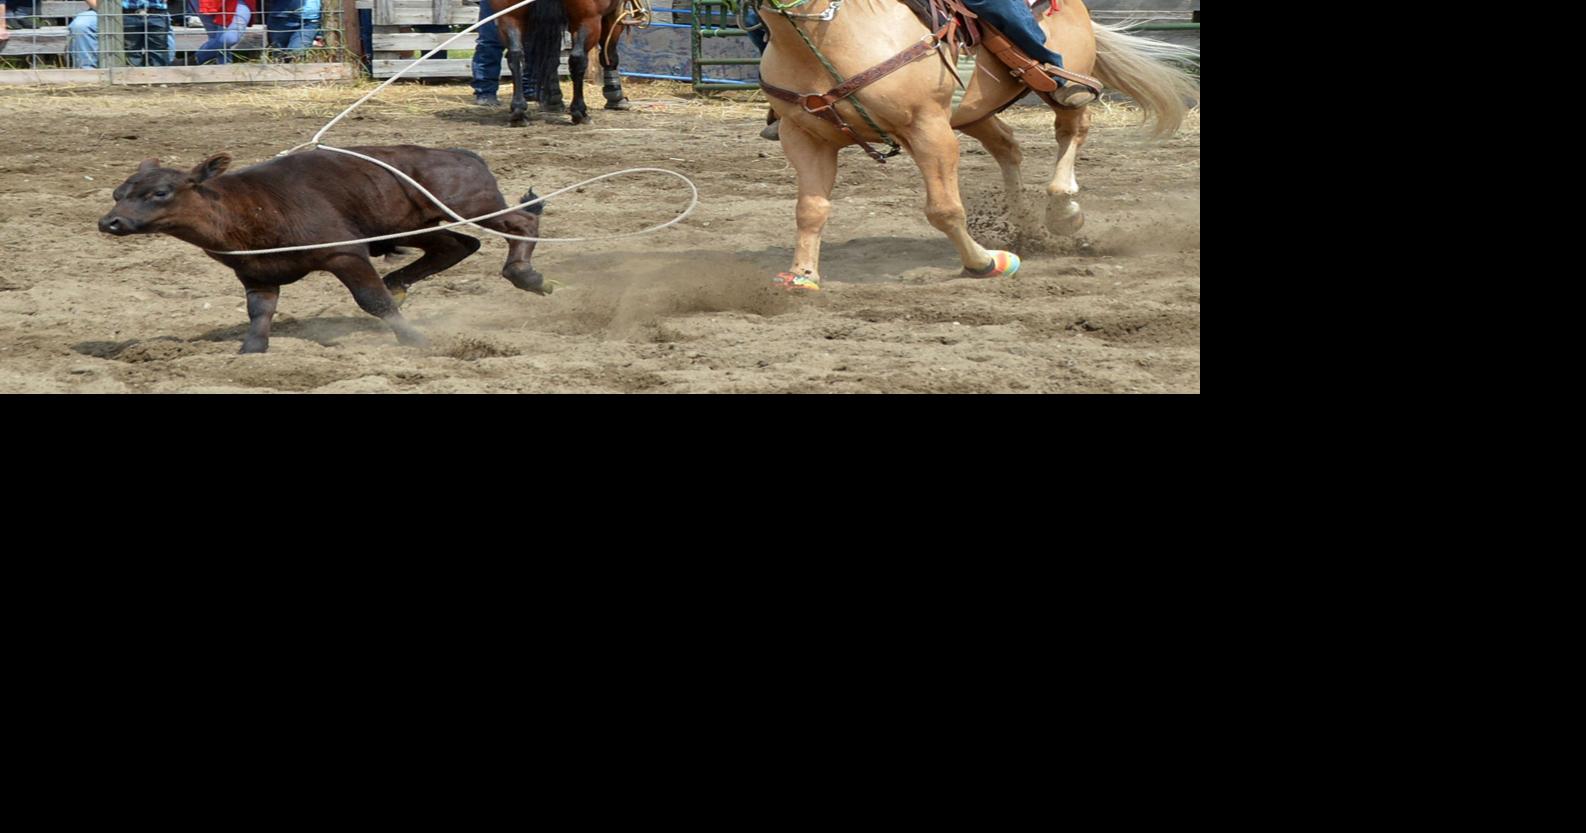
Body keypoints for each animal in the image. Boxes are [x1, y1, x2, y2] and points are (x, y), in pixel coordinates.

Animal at [491, 0, 647, 126]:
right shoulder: (612, 15)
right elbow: (609, 55)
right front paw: (616, 97)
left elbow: (551, 58)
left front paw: (553, 101)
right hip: (587, 19)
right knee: (578, 59)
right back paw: (580, 112)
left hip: (509, 16)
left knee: (515, 55)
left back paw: (518, 111)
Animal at [761, 0, 1192, 288]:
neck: (831, 32)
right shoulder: (803, 138)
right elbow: (810, 210)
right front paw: (802, 276)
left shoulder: (929, 128)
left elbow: (944, 210)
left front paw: (984, 263)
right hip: (974, 112)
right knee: (1007, 146)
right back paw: (1024, 223)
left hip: (1066, 81)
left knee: (1072, 128)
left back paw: (1063, 211)